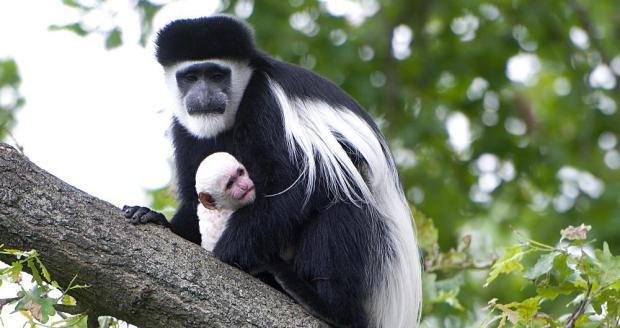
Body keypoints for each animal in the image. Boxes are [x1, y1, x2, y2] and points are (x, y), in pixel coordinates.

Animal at [122, 16, 422, 328]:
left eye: (217, 75)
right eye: (190, 77)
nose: (203, 97)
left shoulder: (266, 102)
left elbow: (298, 183)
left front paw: (227, 250)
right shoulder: (185, 129)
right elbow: (196, 200)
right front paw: (154, 217)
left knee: (344, 199)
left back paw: (327, 306)